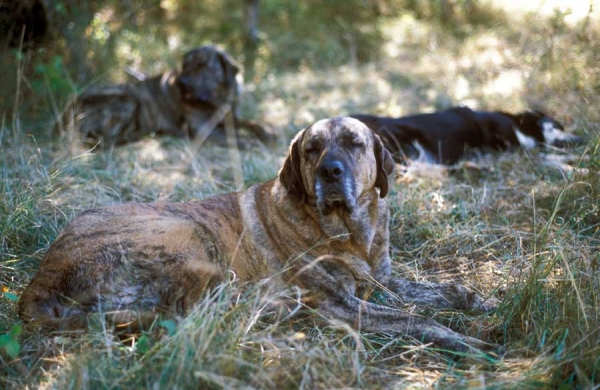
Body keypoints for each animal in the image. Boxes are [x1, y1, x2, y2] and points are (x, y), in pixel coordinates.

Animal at [19, 116, 496, 354]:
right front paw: (472, 341)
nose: (330, 171)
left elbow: (434, 291)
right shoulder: (343, 304)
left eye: (354, 143)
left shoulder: (383, 279)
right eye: (312, 149)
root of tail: (42, 277)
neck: (349, 231)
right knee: (190, 311)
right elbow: (420, 319)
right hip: (191, 241)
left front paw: (476, 300)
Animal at [67, 44, 274, 148]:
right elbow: (227, 136)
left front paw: (266, 131)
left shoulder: (230, 117)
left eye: (202, 65)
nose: (181, 82)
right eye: (184, 66)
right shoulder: (201, 127)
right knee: (103, 139)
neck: (217, 99)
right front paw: (246, 141)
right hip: (128, 99)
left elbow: (249, 122)